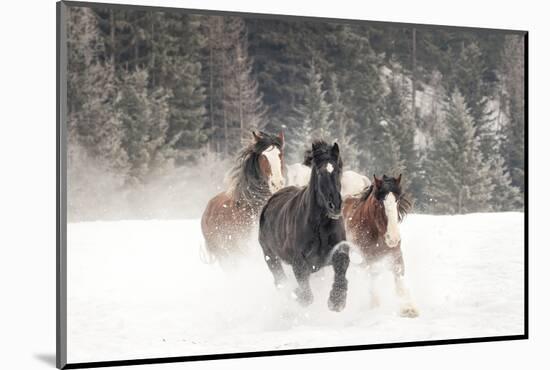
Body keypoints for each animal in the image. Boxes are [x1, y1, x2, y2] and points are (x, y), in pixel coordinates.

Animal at [260, 140, 352, 310]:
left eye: (338, 170)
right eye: (320, 172)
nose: (335, 205)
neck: (320, 227)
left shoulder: (337, 251)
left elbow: (342, 267)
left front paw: (337, 301)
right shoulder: (299, 262)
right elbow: (306, 295)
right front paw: (296, 294)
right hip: (270, 256)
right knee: (279, 279)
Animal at [342, 175, 420, 316]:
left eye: (397, 201)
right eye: (378, 203)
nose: (393, 238)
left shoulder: (396, 254)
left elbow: (399, 280)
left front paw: (409, 308)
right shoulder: (368, 258)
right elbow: (372, 280)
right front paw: (375, 306)